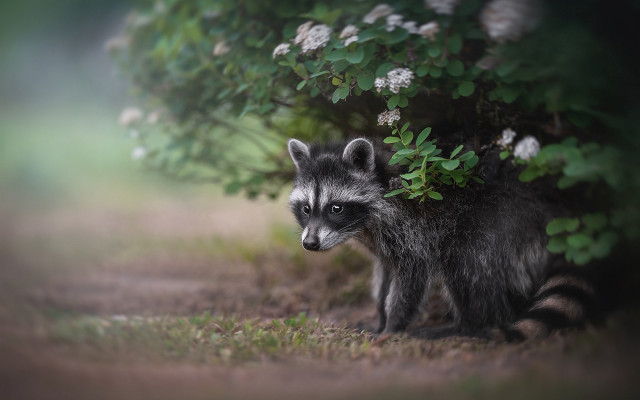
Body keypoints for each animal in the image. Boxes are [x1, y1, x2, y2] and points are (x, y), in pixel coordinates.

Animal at [287, 137, 597, 340]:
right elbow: (385, 274)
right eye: (306, 209)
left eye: (335, 208)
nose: (310, 244)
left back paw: (467, 326)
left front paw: (392, 326)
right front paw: (380, 317)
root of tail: (551, 209)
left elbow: (411, 278)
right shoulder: (381, 241)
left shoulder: (411, 228)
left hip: (498, 220)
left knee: (466, 264)